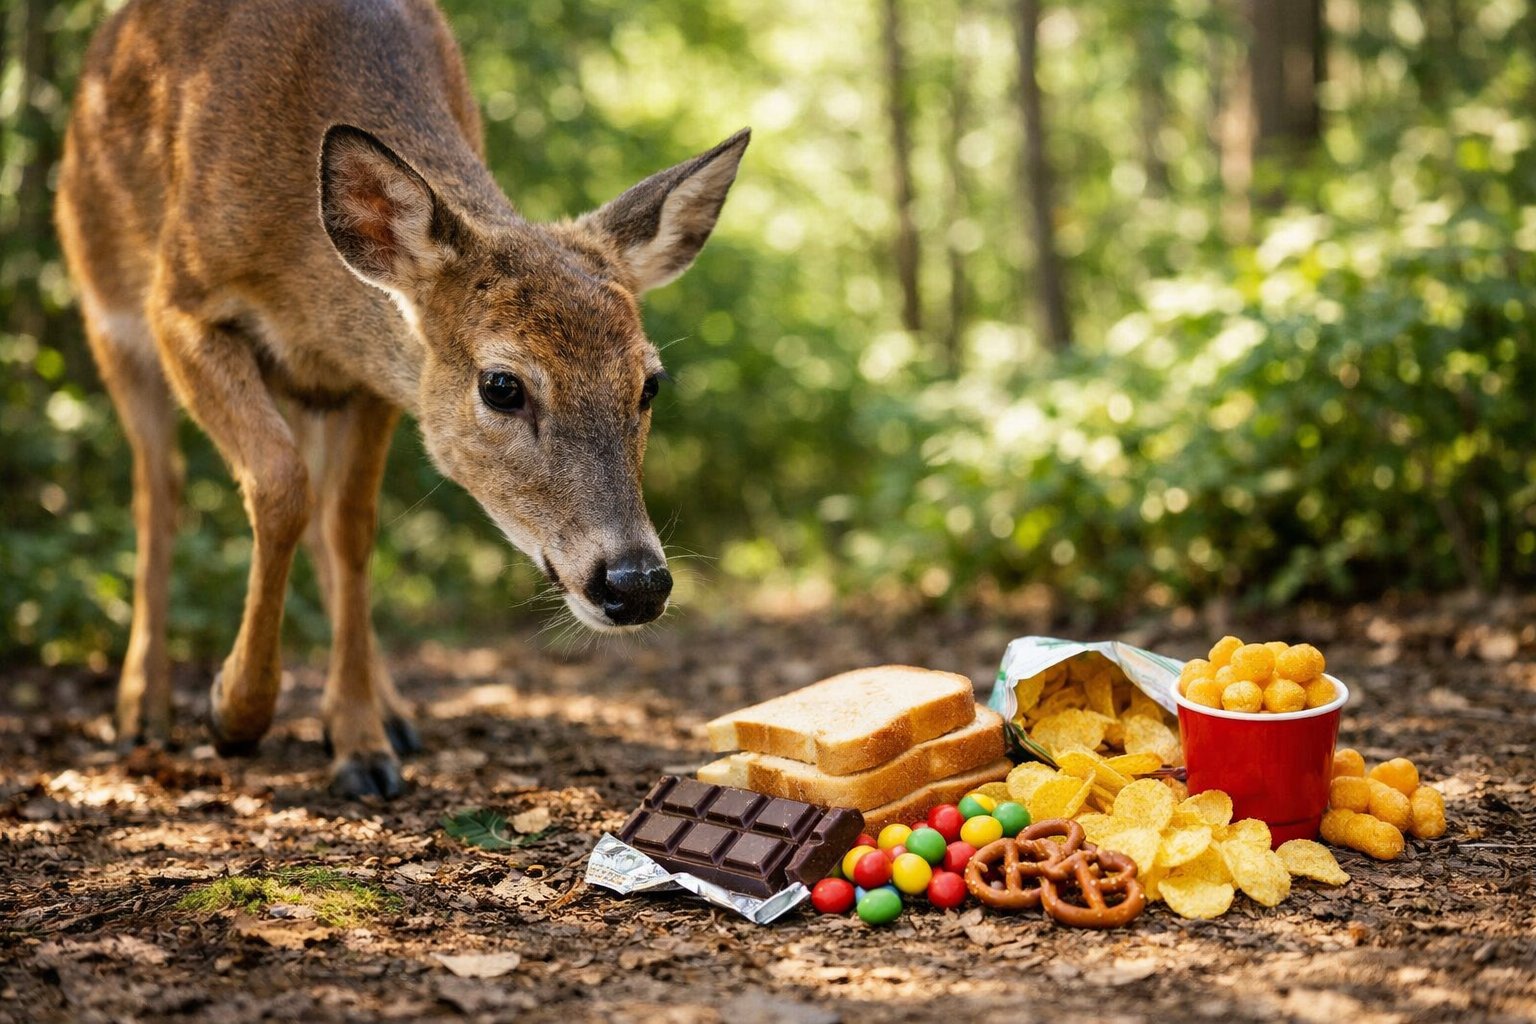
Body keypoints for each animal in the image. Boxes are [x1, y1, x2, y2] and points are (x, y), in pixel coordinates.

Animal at [55, 0, 748, 799]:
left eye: (650, 382)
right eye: (502, 385)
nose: (637, 584)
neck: (305, 286)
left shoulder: (376, 380)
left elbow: (350, 527)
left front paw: (359, 745)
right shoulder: (182, 304)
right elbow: (279, 488)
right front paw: (233, 712)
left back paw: (385, 716)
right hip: (104, 298)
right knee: (158, 490)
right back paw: (143, 709)